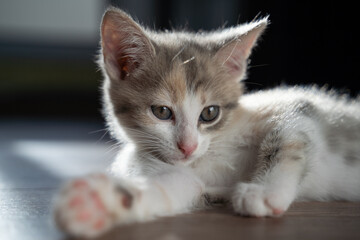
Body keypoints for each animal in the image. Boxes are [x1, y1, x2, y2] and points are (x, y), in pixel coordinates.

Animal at [53, 6, 360, 237]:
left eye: (210, 113)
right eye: (161, 112)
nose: (188, 147)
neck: (209, 156)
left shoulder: (296, 104)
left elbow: (287, 137)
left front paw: (266, 190)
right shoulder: (171, 173)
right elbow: (172, 187)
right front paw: (99, 202)